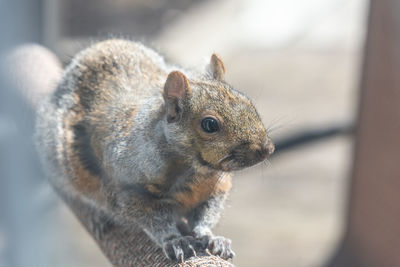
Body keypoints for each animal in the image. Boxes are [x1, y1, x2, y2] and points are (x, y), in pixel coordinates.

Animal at [35, 38, 276, 262]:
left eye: (248, 102)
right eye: (210, 124)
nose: (267, 149)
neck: (192, 169)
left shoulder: (214, 188)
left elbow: (207, 213)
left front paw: (211, 237)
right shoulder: (129, 192)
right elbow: (153, 220)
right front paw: (175, 240)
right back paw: (98, 216)